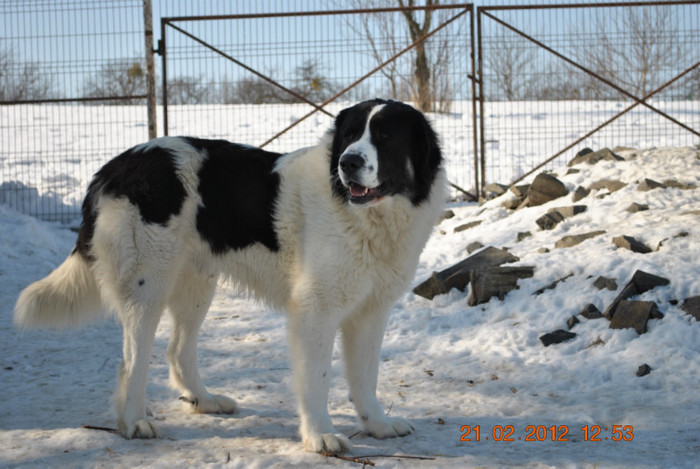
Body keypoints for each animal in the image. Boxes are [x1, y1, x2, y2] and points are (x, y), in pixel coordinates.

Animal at [15, 98, 448, 454]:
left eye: (385, 138)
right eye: (350, 136)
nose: (348, 162)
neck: (368, 217)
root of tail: (114, 166)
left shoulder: (371, 312)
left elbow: (365, 375)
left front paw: (377, 424)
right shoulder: (316, 311)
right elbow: (318, 378)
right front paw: (320, 435)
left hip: (195, 284)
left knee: (177, 350)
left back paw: (204, 400)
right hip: (147, 284)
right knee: (132, 361)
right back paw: (135, 421)